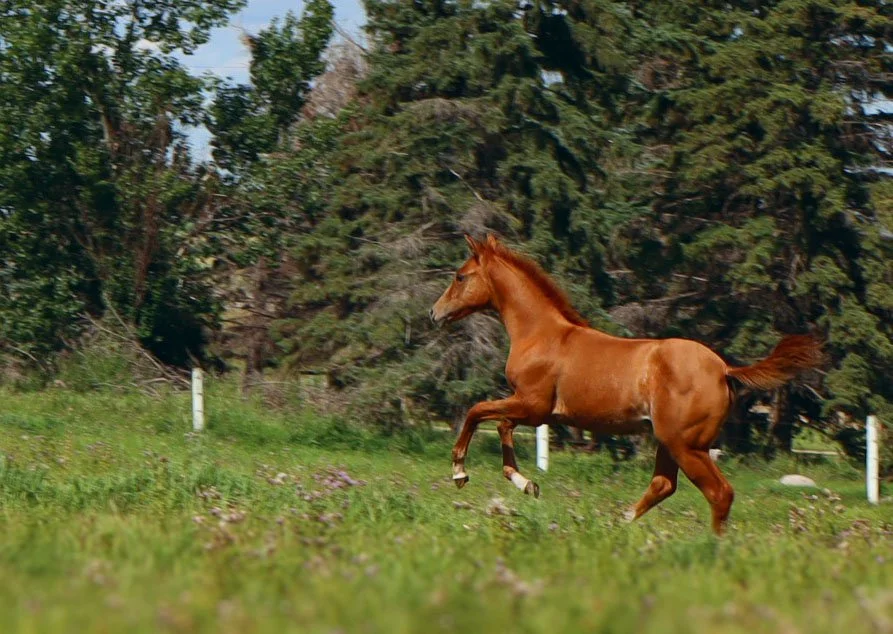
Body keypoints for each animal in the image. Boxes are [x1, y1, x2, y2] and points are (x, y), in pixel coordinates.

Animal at [429, 233, 824, 535]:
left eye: (460, 276)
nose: (434, 313)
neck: (543, 335)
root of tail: (724, 368)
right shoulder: (532, 410)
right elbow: (502, 427)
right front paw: (526, 484)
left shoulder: (533, 405)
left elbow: (477, 411)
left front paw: (460, 472)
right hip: (669, 441)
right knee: (665, 484)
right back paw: (620, 522)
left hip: (686, 445)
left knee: (719, 492)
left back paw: (712, 545)